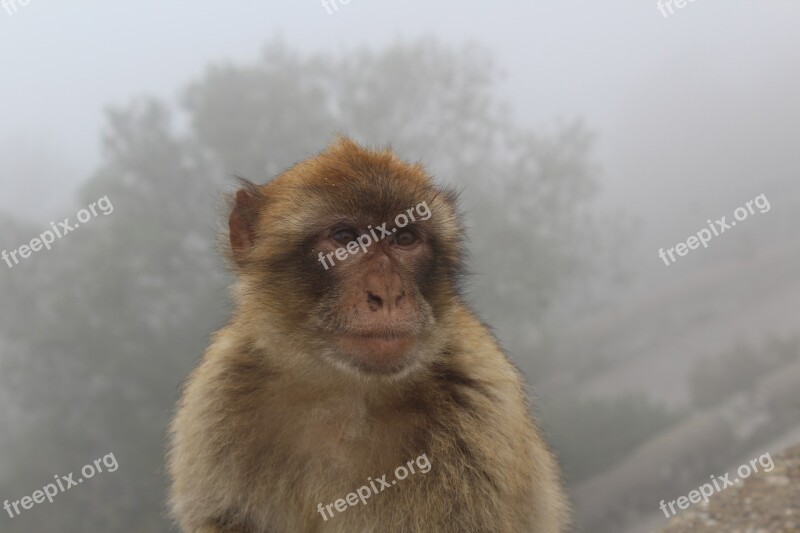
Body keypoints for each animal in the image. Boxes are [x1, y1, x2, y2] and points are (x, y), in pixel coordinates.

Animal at [167, 135, 568, 528]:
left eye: (405, 238)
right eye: (345, 237)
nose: (388, 294)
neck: (344, 390)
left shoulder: (480, 411)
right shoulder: (218, 398)